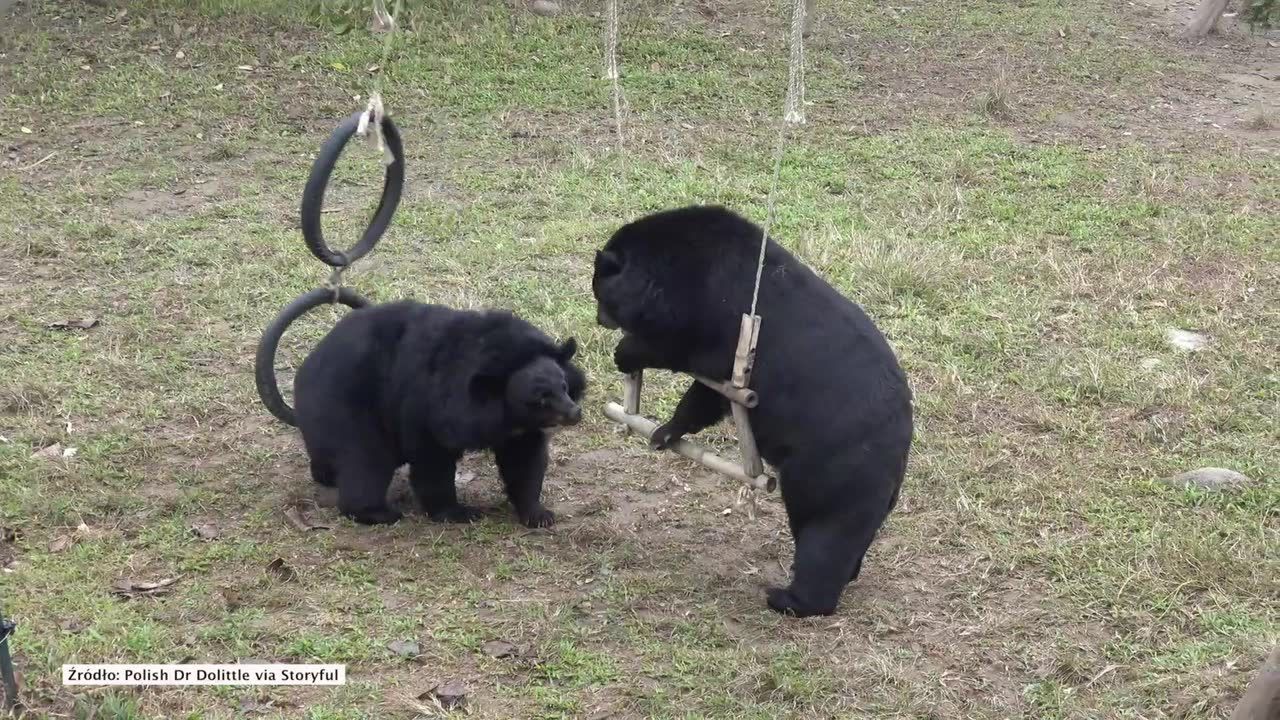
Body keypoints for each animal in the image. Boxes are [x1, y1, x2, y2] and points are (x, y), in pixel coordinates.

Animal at [291, 297, 586, 527]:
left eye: (564, 387)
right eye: (540, 400)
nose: (574, 413)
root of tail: (307, 366)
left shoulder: (522, 430)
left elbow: (524, 461)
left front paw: (539, 515)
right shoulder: (428, 409)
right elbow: (432, 460)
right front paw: (459, 512)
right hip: (350, 407)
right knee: (366, 460)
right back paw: (379, 513)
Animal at [588, 203, 911, 617]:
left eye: (601, 294)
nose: (600, 320)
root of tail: (898, 452)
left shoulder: (707, 311)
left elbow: (685, 351)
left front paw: (626, 351)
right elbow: (708, 395)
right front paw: (664, 433)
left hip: (832, 470)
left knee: (826, 533)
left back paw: (790, 599)